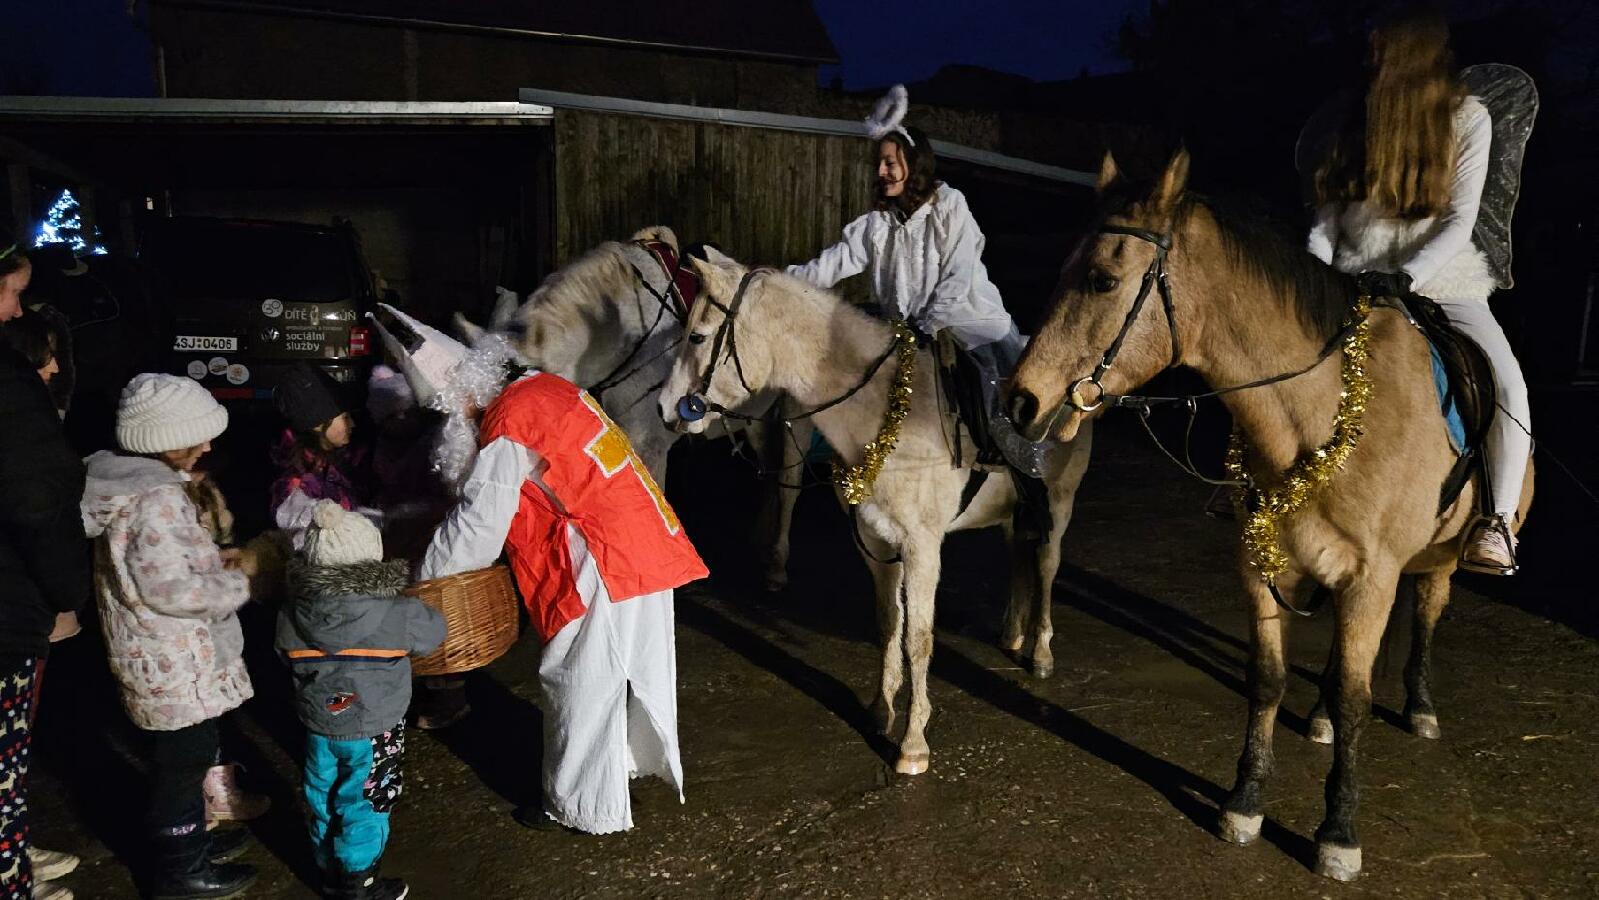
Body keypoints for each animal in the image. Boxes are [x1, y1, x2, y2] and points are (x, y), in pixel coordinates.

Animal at [659, 246, 1094, 776]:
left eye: (698, 336)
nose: (665, 408)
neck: (890, 411)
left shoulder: (922, 547)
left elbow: (919, 638)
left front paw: (913, 744)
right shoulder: (874, 540)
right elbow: (890, 622)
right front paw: (880, 710)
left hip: (1059, 502)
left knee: (1047, 564)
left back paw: (1041, 650)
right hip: (1012, 511)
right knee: (1018, 556)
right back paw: (1012, 633)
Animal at [1005, 149, 1532, 881]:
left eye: (1102, 280)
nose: (1020, 400)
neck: (1326, 410)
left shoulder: (1373, 576)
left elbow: (1355, 695)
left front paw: (1337, 833)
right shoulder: (1264, 564)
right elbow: (1270, 680)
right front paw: (1246, 800)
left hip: (1437, 559)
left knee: (1426, 614)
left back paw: (1421, 706)